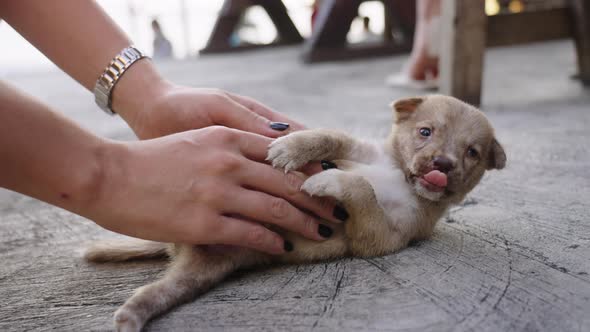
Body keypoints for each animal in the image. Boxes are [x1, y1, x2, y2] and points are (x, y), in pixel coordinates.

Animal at [86, 94, 508, 330]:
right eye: (425, 132)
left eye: (472, 152)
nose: (442, 165)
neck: (398, 175)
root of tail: (179, 246)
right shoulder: (360, 151)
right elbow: (330, 137)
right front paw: (290, 148)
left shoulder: (384, 237)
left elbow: (362, 189)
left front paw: (327, 182)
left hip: (200, 272)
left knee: (157, 292)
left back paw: (130, 316)